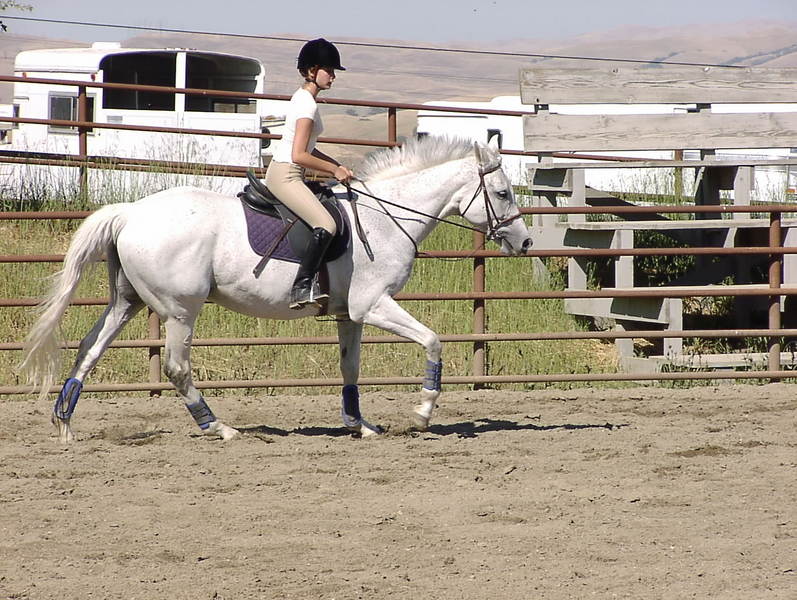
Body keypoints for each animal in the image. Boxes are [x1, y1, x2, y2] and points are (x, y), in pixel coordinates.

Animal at [20, 136, 531, 442]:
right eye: (502, 193)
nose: (525, 242)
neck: (387, 217)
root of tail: (130, 213)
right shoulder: (373, 305)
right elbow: (432, 341)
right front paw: (423, 412)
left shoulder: (349, 315)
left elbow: (350, 369)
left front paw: (360, 425)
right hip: (180, 310)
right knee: (176, 368)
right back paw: (220, 428)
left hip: (126, 301)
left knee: (90, 347)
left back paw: (64, 424)